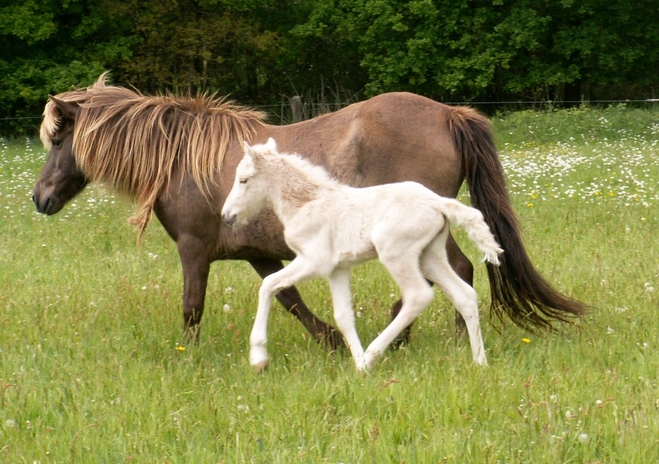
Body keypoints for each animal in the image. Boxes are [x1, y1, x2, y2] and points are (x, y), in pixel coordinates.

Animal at [32, 73, 588, 348]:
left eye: (58, 137)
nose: (40, 198)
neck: (185, 159)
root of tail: (448, 114)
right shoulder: (258, 253)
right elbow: (290, 300)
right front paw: (331, 341)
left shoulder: (193, 250)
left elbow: (192, 308)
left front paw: (187, 359)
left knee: (458, 272)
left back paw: (437, 340)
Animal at [219, 139, 502, 374]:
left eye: (243, 180)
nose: (227, 216)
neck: (305, 203)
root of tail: (438, 203)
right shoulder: (337, 269)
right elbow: (343, 316)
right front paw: (357, 367)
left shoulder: (314, 262)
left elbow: (268, 284)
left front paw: (258, 358)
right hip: (429, 256)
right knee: (465, 295)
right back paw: (480, 362)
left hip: (396, 253)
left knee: (418, 296)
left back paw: (372, 355)